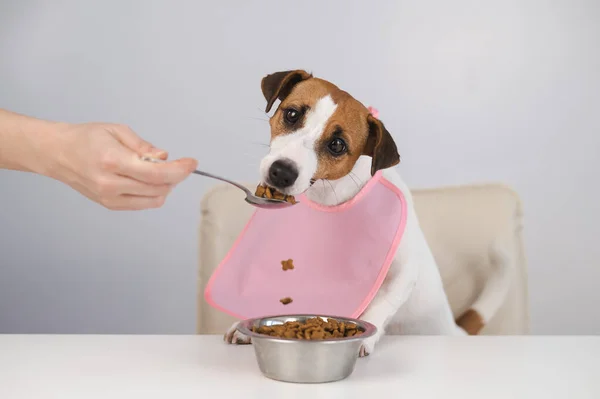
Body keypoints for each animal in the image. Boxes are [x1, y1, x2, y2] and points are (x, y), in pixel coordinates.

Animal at [223, 71, 512, 356]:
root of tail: (455, 330)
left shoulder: (403, 271)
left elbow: (381, 304)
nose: (281, 172)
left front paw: (363, 337)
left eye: (337, 145)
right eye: (292, 114)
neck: (329, 196)